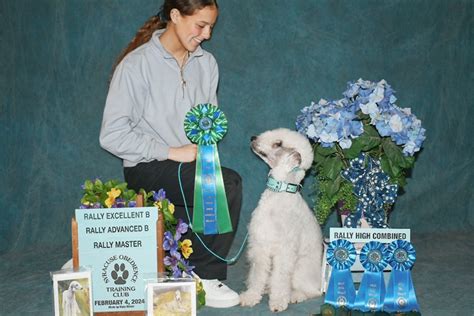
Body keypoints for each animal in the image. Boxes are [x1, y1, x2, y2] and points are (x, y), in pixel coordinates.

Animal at [239, 128, 324, 312]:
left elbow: (280, 277)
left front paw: (278, 301)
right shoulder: (260, 245)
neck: (280, 191)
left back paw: (295, 295)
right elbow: (257, 273)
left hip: (301, 270)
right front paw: (251, 296)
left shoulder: (285, 250)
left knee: (312, 291)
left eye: (278, 144)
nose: (253, 138)